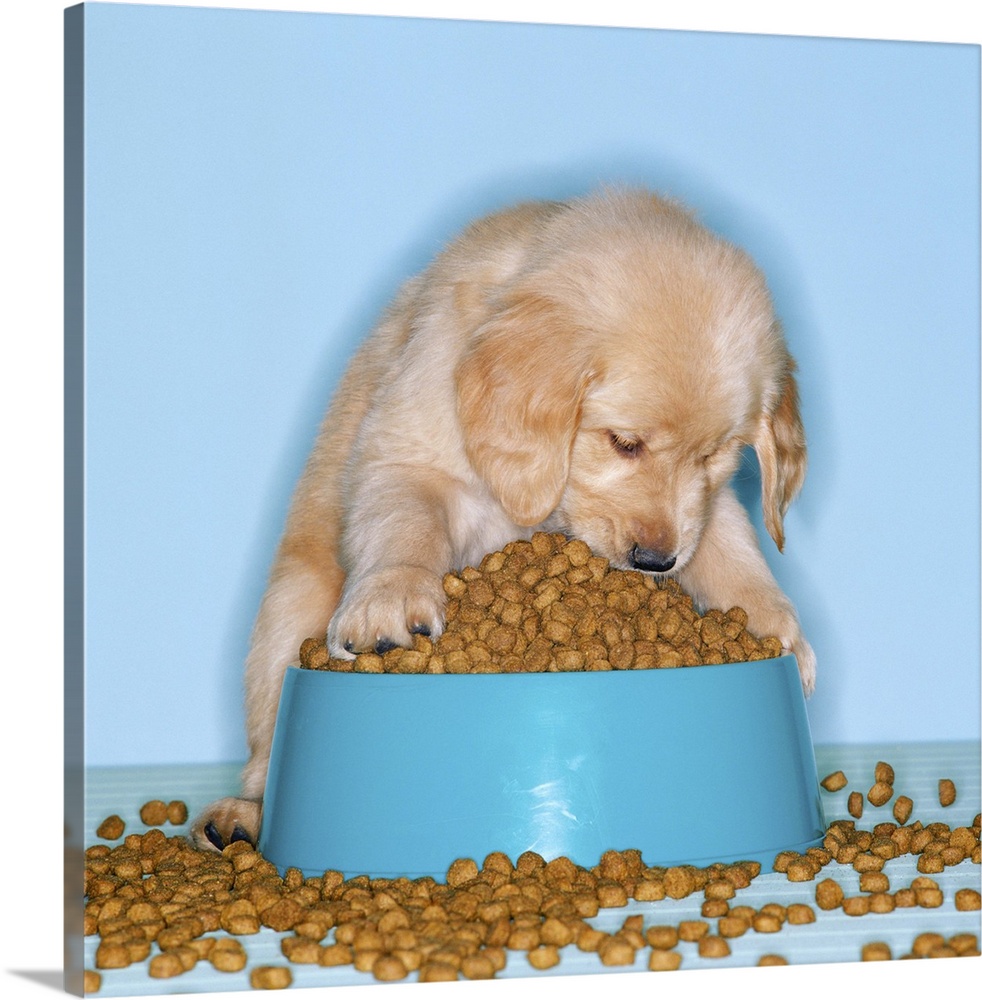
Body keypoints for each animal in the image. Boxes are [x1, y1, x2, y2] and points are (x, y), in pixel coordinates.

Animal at [190, 189, 816, 852]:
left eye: (715, 455)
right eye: (624, 442)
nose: (655, 562)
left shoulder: (702, 507)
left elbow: (730, 549)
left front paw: (782, 634)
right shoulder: (409, 453)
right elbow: (404, 521)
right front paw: (390, 602)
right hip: (284, 617)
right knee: (263, 757)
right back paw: (237, 817)